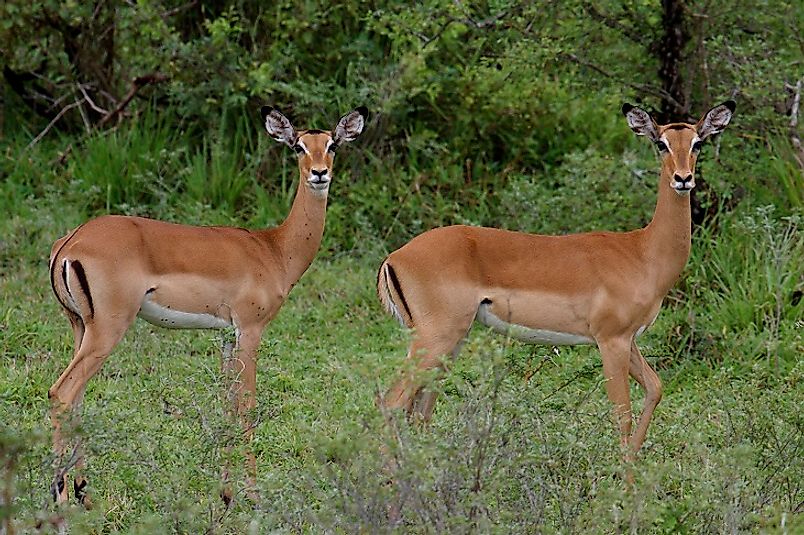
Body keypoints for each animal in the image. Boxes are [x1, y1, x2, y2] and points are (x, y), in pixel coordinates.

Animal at [47, 104, 368, 506]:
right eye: (298, 146)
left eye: (333, 144)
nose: (319, 173)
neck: (274, 250)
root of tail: (71, 242)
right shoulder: (250, 330)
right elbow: (247, 405)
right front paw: (253, 496)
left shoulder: (227, 336)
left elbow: (227, 405)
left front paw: (226, 494)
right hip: (107, 329)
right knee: (61, 393)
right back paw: (61, 496)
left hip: (80, 326)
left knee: (76, 398)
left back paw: (83, 492)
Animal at [376, 102, 736, 462]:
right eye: (661, 143)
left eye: (697, 143)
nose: (683, 179)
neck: (642, 252)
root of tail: (394, 257)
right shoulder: (611, 340)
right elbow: (622, 414)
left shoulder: (629, 339)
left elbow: (655, 388)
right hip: (436, 339)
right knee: (393, 402)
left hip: (451, 342)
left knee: (420, 409)